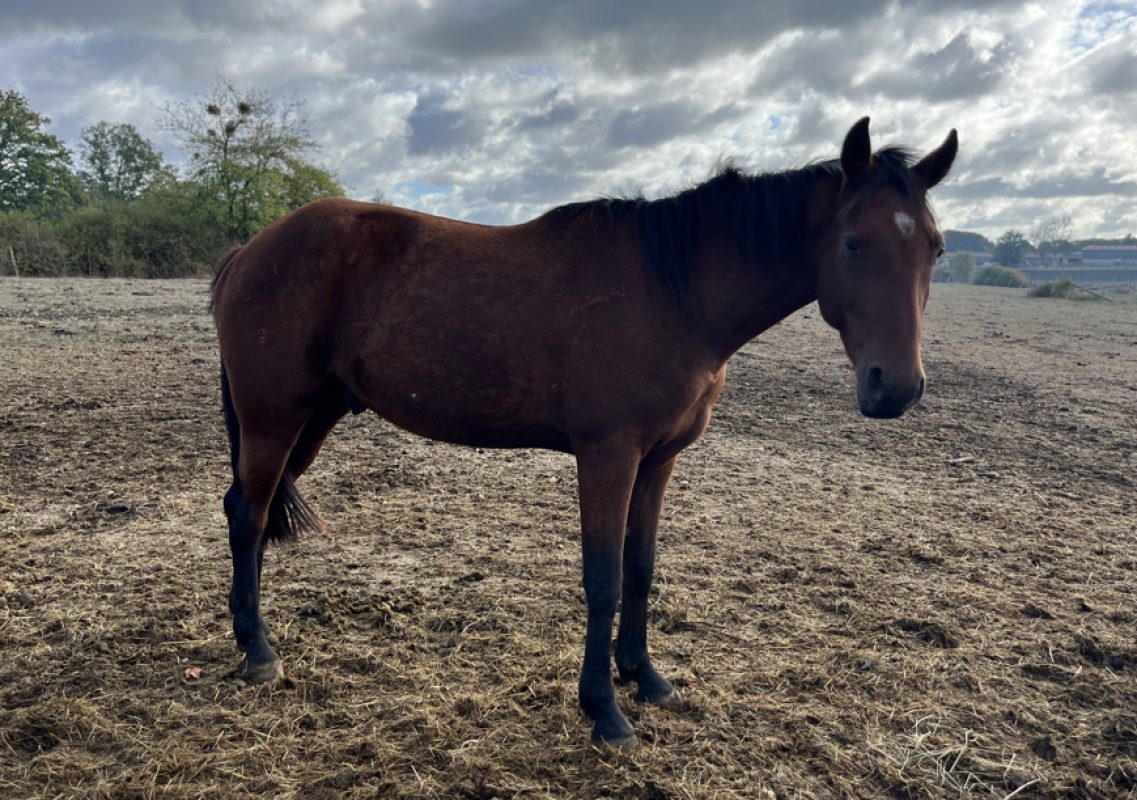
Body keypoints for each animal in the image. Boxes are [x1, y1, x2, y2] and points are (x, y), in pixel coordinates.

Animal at [211, 117, 957, 748]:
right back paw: (258, 649)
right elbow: (601, 577)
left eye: (936, 249)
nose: (895, 387)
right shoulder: (608, 456)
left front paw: (644, 676)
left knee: (249, 509)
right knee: (248, 516)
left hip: (314, 415)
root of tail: (252, 248)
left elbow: (640, 568)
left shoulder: (658, 461)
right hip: (274, 417)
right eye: (853, 243)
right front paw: (603, 708)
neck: (673, 294)